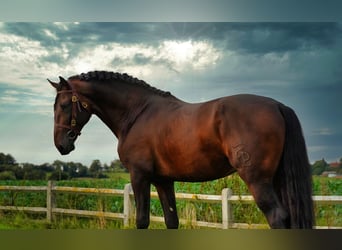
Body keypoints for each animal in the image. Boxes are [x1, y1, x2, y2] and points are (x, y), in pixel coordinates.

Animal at [48, 70, 312, 229]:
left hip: (257, 180)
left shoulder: (139, 176)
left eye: (64, 104)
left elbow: (142, 220)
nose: (61, 145)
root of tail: (278, 106)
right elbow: (171, 220)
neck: (137, 113)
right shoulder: (164, 181)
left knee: (277, 217)